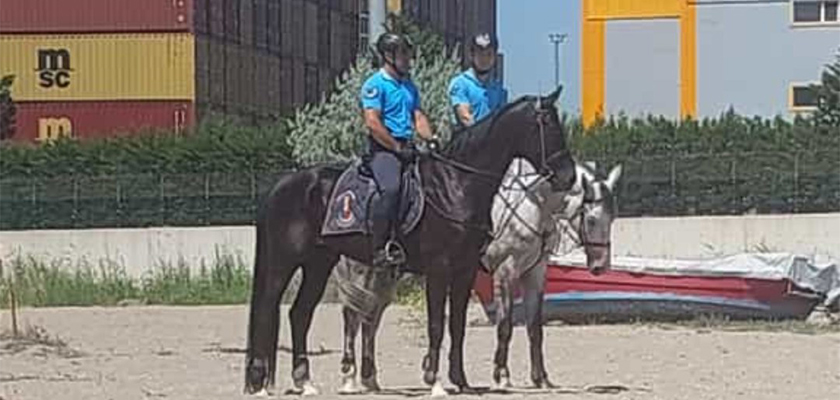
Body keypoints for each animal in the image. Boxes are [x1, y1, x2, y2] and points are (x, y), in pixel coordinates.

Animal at [240, 86, 576, 396]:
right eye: (546, 124)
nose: (568, 176)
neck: (455, 186)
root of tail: (283, 184)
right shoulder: (441, 268)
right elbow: (437, 324)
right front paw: (435, 381)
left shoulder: (466, 269)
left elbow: (458, 325)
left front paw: (461, 381)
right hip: (285, 263)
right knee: (271, 310)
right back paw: (261, 382)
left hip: (318, 263)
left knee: (301, 314)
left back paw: (306, 381)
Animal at [336, 159, 624, 394]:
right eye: (591, 219)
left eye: (612, 217)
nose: (600, 266)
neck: (533, 206)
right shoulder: (506, 272)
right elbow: (505, 326)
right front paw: (502, 376)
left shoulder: (534, 273)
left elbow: (535, 327)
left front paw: (541, 378)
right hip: (363, 270)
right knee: (352, 317)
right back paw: (350, 378)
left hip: (386, 273)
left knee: (370, 319)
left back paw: (370, 379)